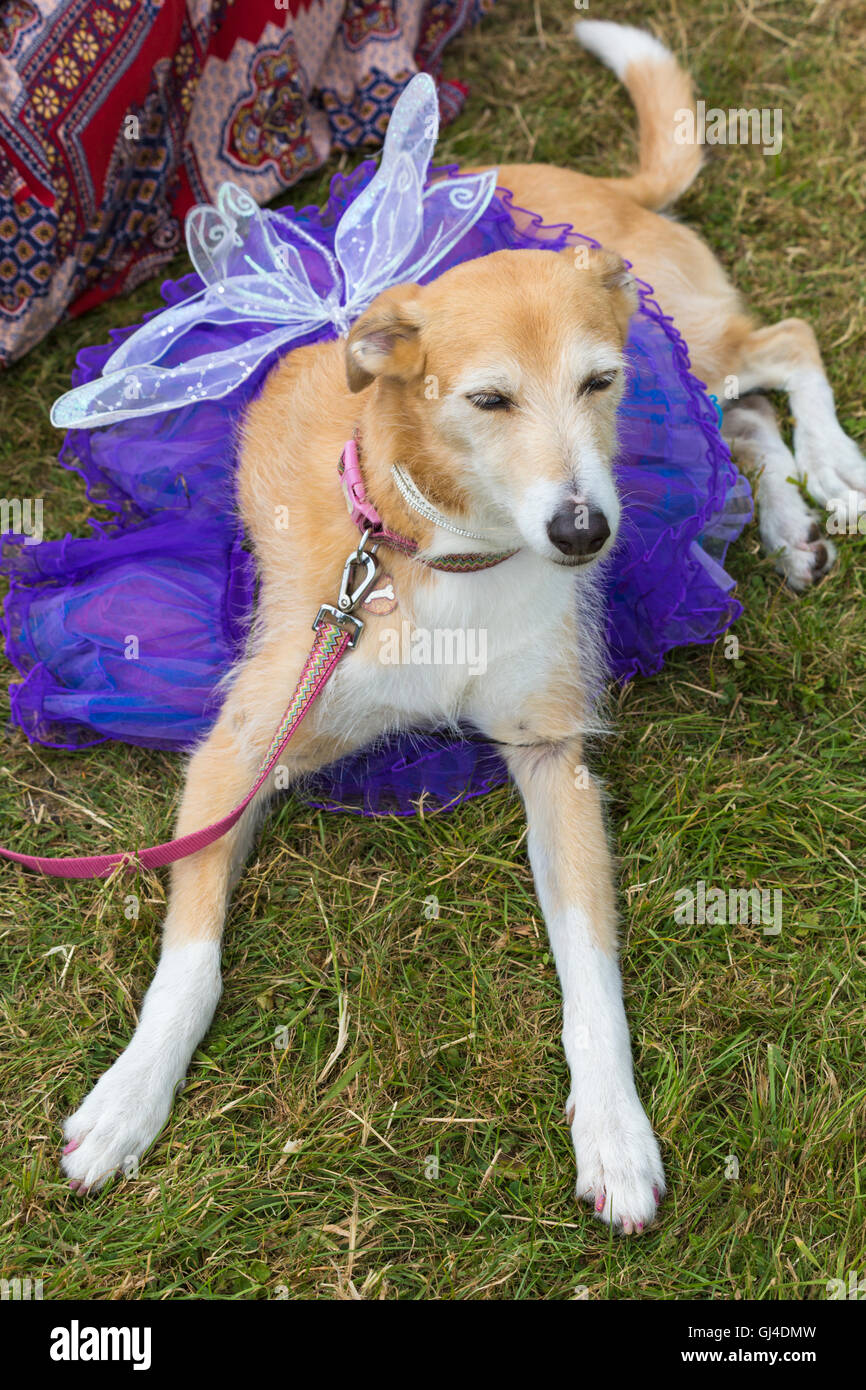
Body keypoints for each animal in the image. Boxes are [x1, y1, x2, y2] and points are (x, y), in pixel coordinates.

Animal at [61, 21, 866, 1234]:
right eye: (487, 401)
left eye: (596, 381)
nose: (585, 532)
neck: (442, 551)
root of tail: (589, 188)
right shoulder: (239, 754)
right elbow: (189, 961)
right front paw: (127, 1098)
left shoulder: (553, 758)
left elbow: (593, 980)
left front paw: (615, 1133)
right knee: (745, 424)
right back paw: (787, 516)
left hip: (689, 345)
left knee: (784, 347)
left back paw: (835, 469)